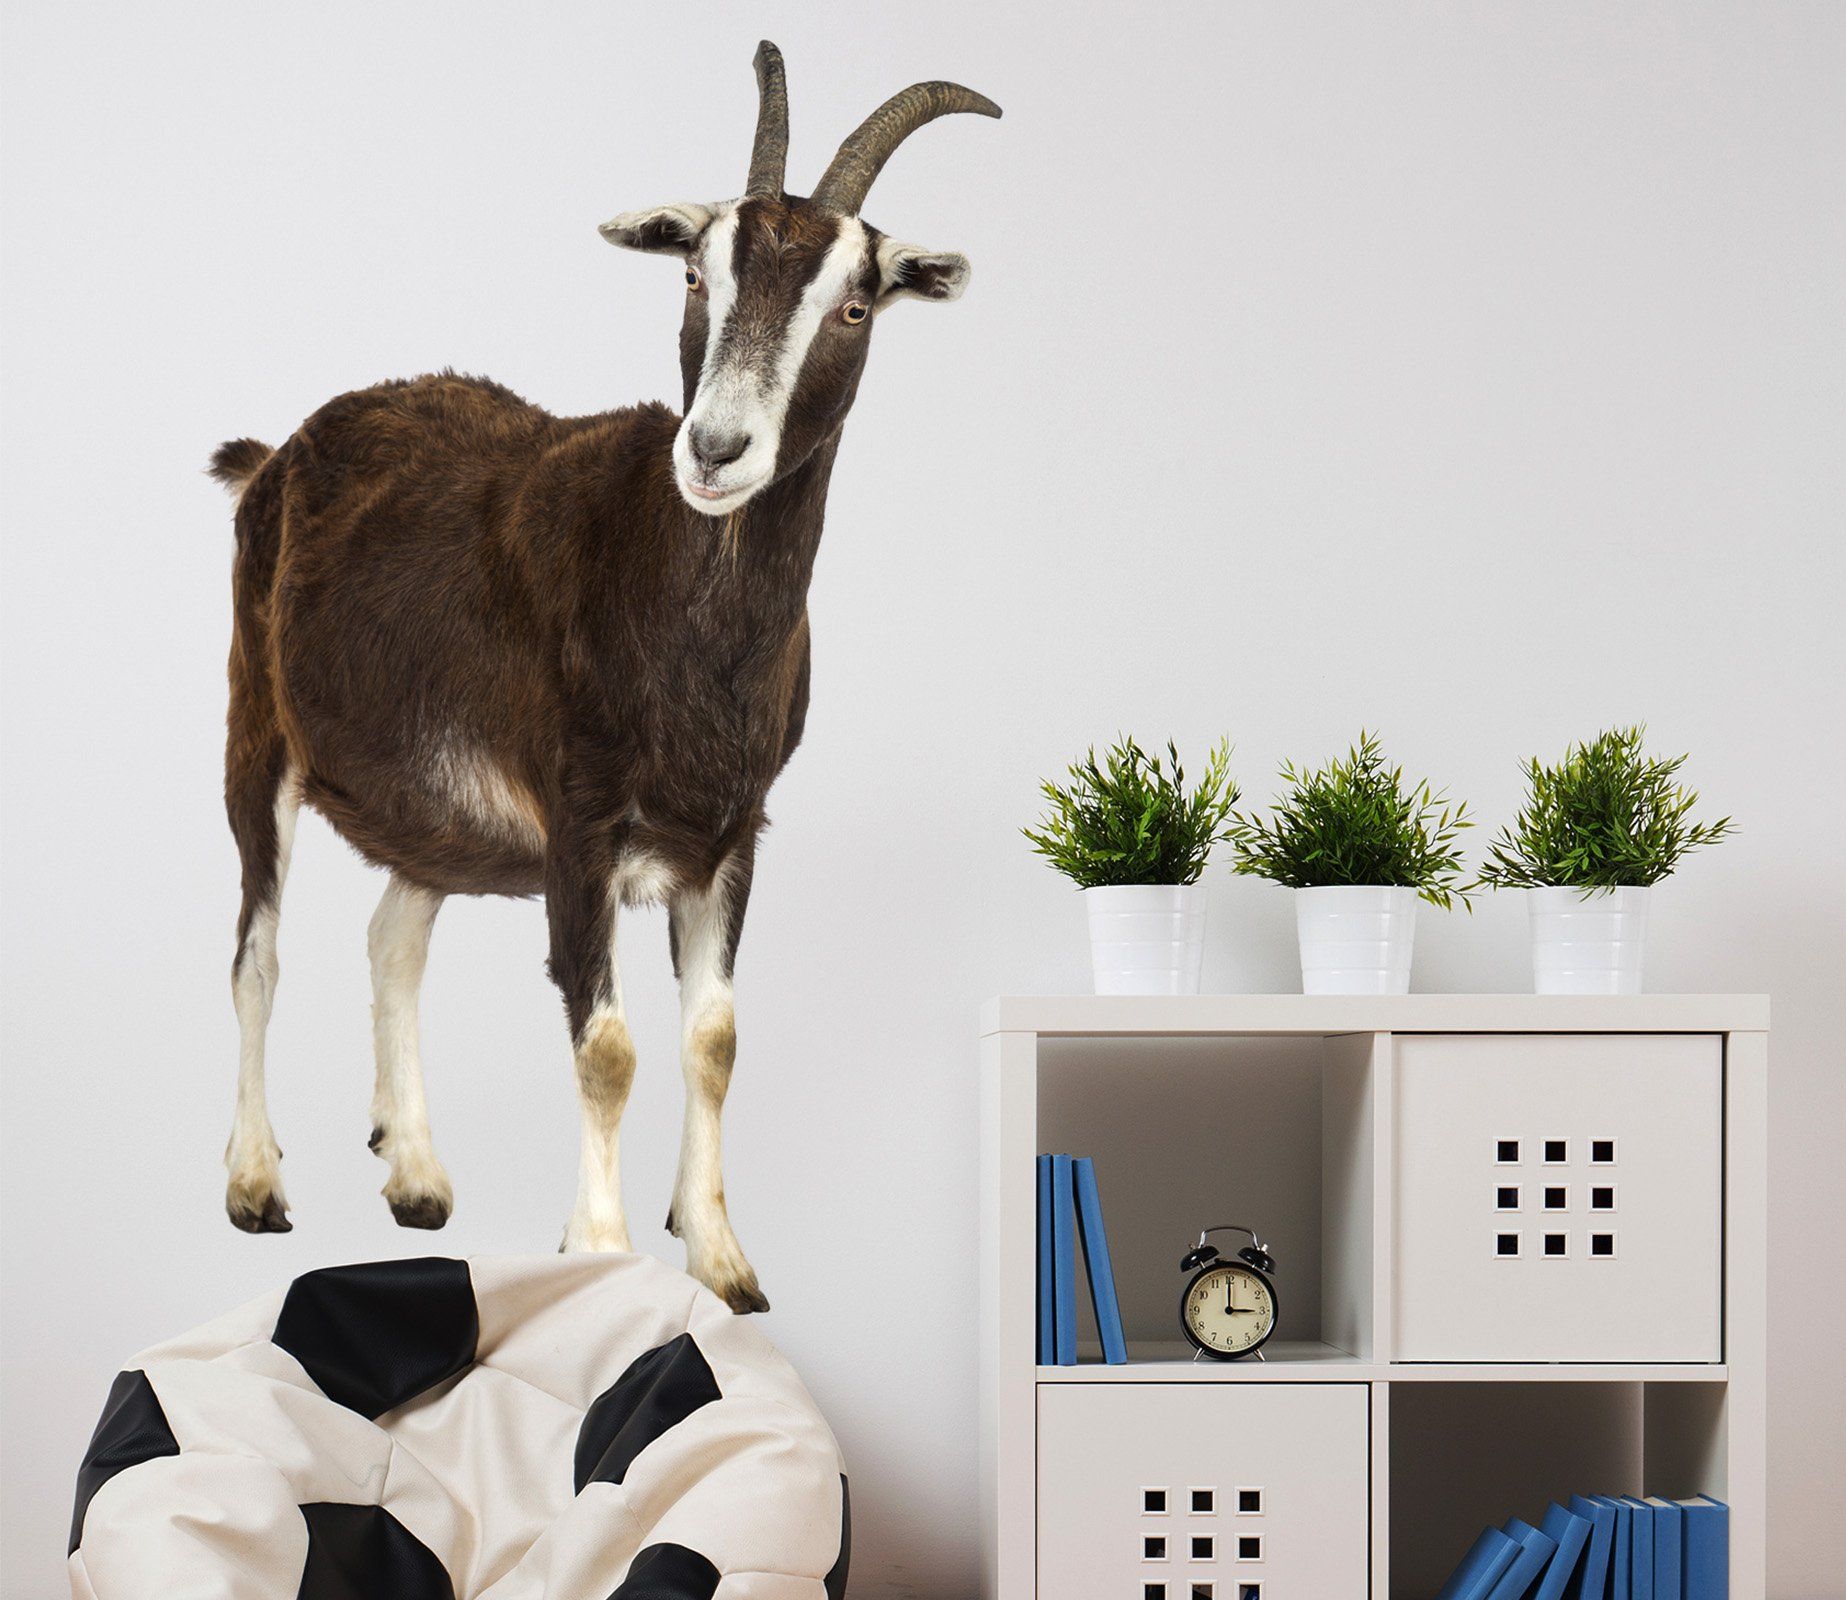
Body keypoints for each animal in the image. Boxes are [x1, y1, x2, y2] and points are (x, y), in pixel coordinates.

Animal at [209, 42, 999, 1312]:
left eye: (854, 302)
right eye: (693, 275)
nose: (714, 450)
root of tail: (275, 455)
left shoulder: (729, 832)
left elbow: (714, 1038)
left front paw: (720, 1257)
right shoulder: (578, 821)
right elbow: (609, 1045)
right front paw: (604, 1256)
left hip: (433, 811)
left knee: (393, 935)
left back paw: (415, 1171)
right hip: (254, 726)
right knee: (257, 947)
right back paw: (253, 1182)